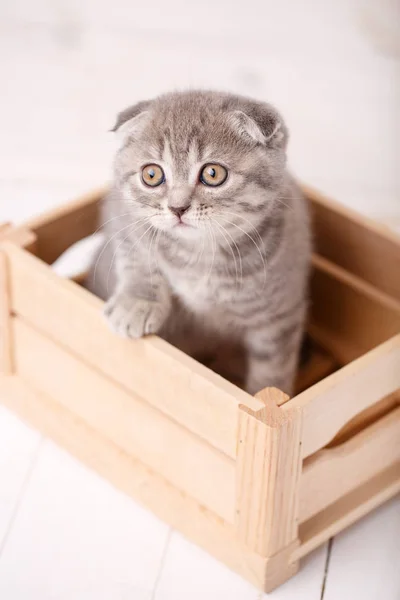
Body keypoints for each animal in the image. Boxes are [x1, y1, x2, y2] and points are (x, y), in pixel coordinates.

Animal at [88, 89, 312, 396]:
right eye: (151, 175)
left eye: (213, 173)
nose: (177, 207)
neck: (200, 252)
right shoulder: (120, 213)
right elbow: (138, 253)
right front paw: (137, 303)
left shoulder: (280, 315)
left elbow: (272, 371)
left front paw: (265, 393)